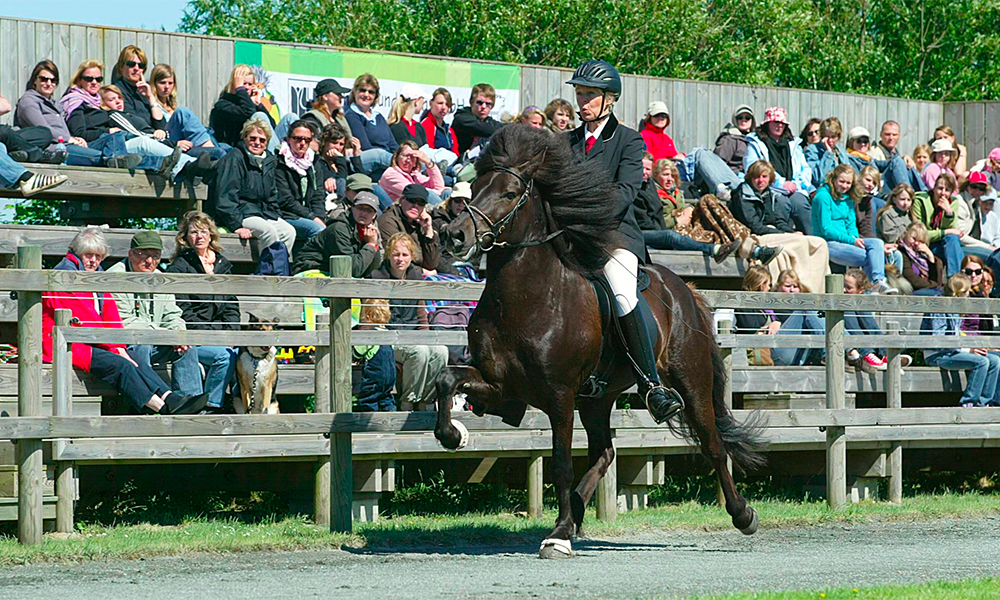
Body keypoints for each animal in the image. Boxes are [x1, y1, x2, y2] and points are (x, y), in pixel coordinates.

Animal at [434, 125, 760, 556]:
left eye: (508, 192)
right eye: (473, 188)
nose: (453, 235)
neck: (527, 297)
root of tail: (687, 292)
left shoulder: (559, 396)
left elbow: (560, 463)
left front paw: (557, 534)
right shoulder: (501, 384)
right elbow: (446, 380)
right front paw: (454, 435)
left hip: (691, 383)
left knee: (713, 445)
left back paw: (743, 515)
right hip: (597, 399)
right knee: (605, 453)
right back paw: (573, 516)